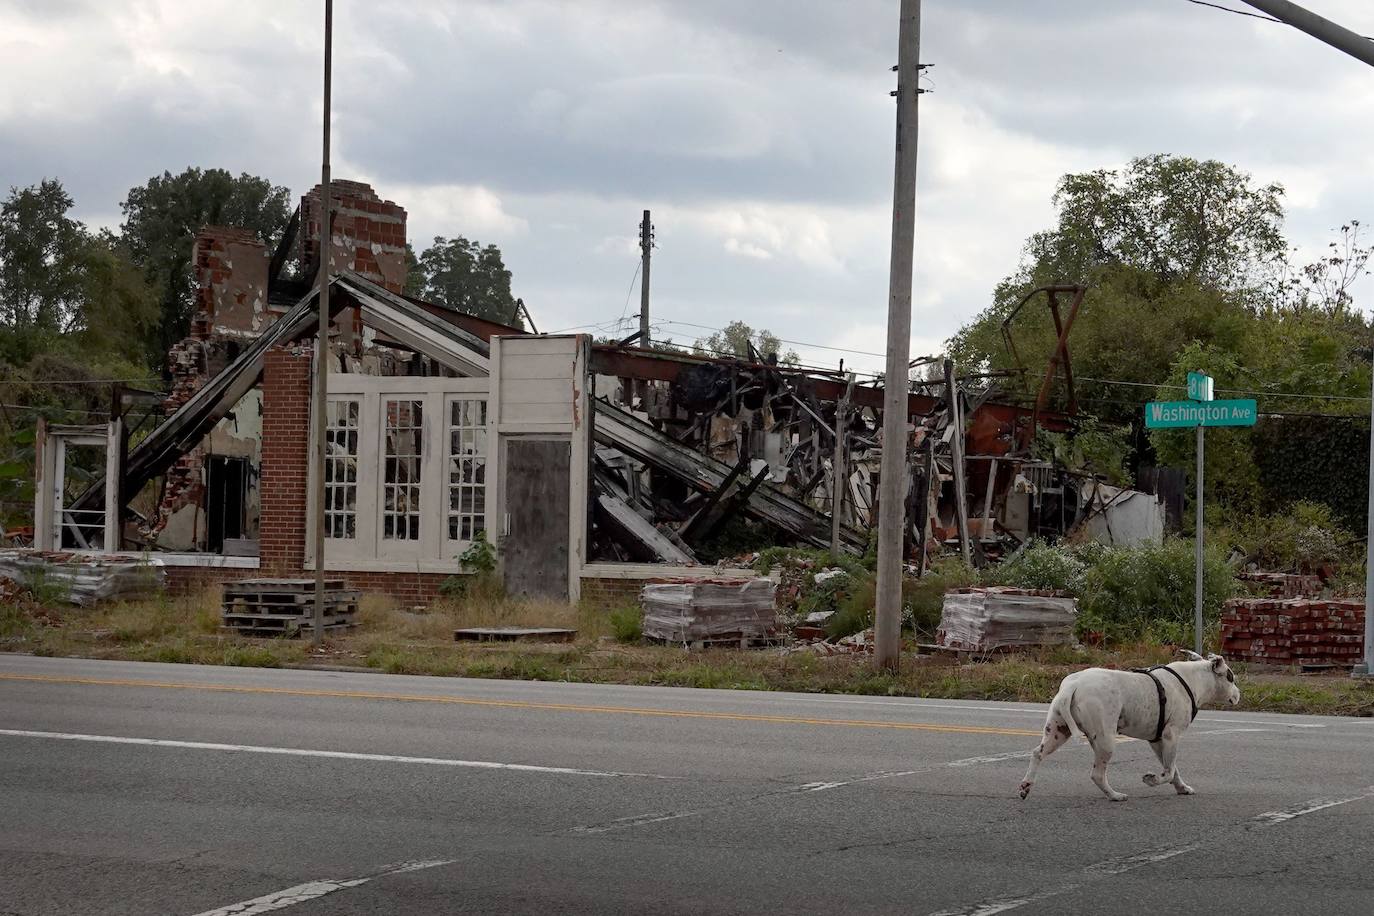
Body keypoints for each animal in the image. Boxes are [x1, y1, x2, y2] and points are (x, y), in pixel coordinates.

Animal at [1016, 650, 1242, 802]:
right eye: (1231, 677)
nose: (1239, 694)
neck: (1195, 679)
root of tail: (1073, 685)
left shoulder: (1158, 740)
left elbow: (1173, 769)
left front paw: (1182, 788)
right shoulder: (1171, 735)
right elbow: (1168, 771)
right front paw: (1152, 780)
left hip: (1058, 731)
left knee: (1037, 753)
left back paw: (1026, 785)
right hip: (1106, 740)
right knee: (1097, 774)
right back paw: (1115, 795)